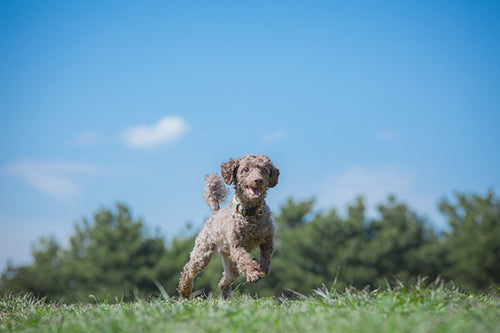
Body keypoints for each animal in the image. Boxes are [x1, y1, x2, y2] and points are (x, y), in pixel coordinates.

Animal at [179, 154, 282, 298]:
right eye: (246, 169)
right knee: (189, 269)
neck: (250, 213)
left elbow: (266, 257)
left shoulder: (268, 240)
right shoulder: (236, 246)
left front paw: (262, 268)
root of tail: (215, 212)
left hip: (231, 264)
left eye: (264, 170)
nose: (258, 180)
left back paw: (226, 298)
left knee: (223, 281)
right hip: (203, 252)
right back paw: (185, 291)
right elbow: (244, 258)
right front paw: (253, 273)